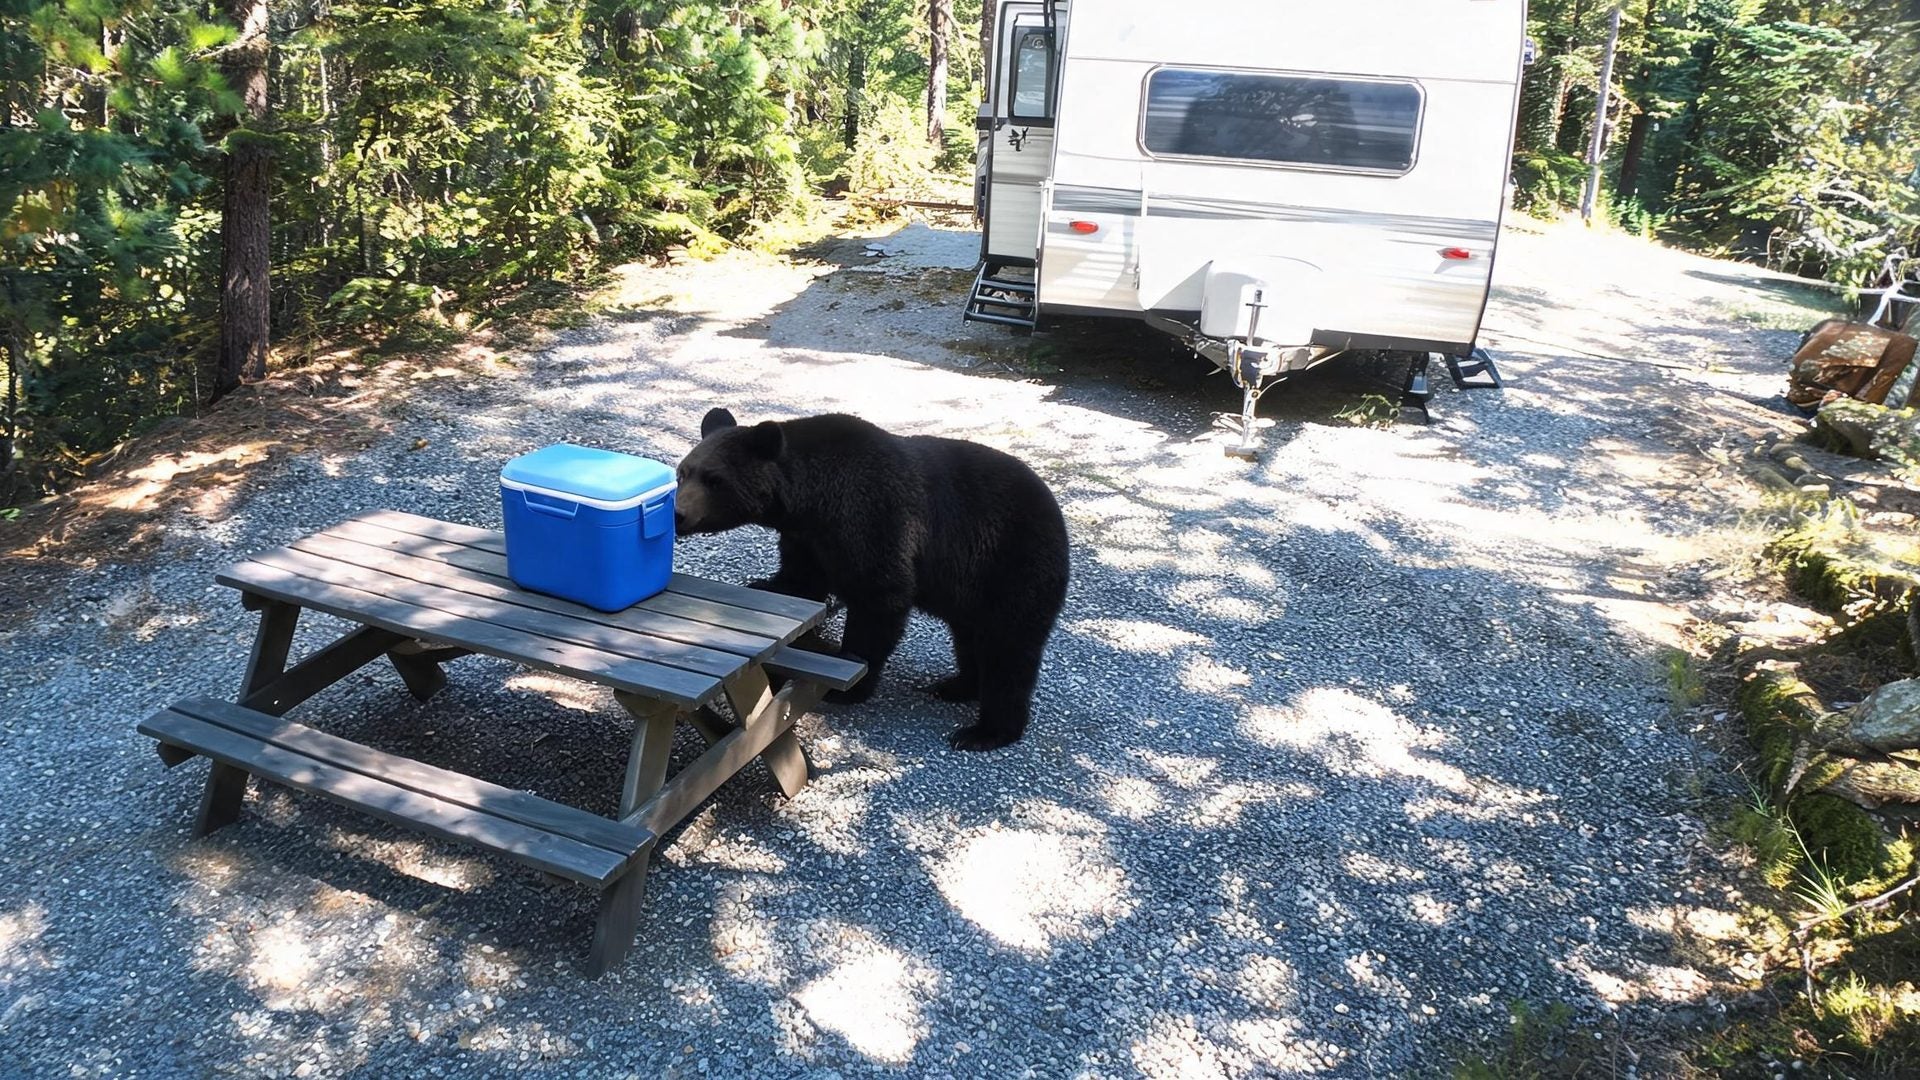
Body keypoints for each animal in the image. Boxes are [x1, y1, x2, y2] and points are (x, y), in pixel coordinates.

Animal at [673, 407, 1070, 751]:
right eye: (682, 472)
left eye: (714, 479)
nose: (677, 513)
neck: (810, 502)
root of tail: (1056, 515)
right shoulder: (808, 540)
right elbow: (799, 581)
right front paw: (762, 586)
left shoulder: (872, 517)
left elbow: (879, 597)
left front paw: (847, 686)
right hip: (974, 591)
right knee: (970, 637)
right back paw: (957, 685)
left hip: (1012, 566)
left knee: (1009, 649)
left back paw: (986, 730)